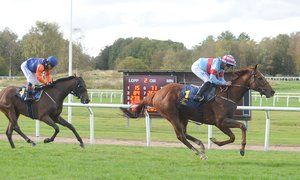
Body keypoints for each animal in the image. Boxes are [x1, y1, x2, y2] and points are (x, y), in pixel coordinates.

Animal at [121, 64, 274, 159]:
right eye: (260, 78)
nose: (272, 91)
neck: (228, 94)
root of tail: (156, 93)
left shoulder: (223, 121)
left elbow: (235, 134)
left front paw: (216, 141)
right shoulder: (220, 121)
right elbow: (239, 130)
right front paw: (240, 149)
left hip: (184, 116)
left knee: (184, 133)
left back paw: (201, 145)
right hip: (172, 115)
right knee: (180, 136)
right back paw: (200, 153)